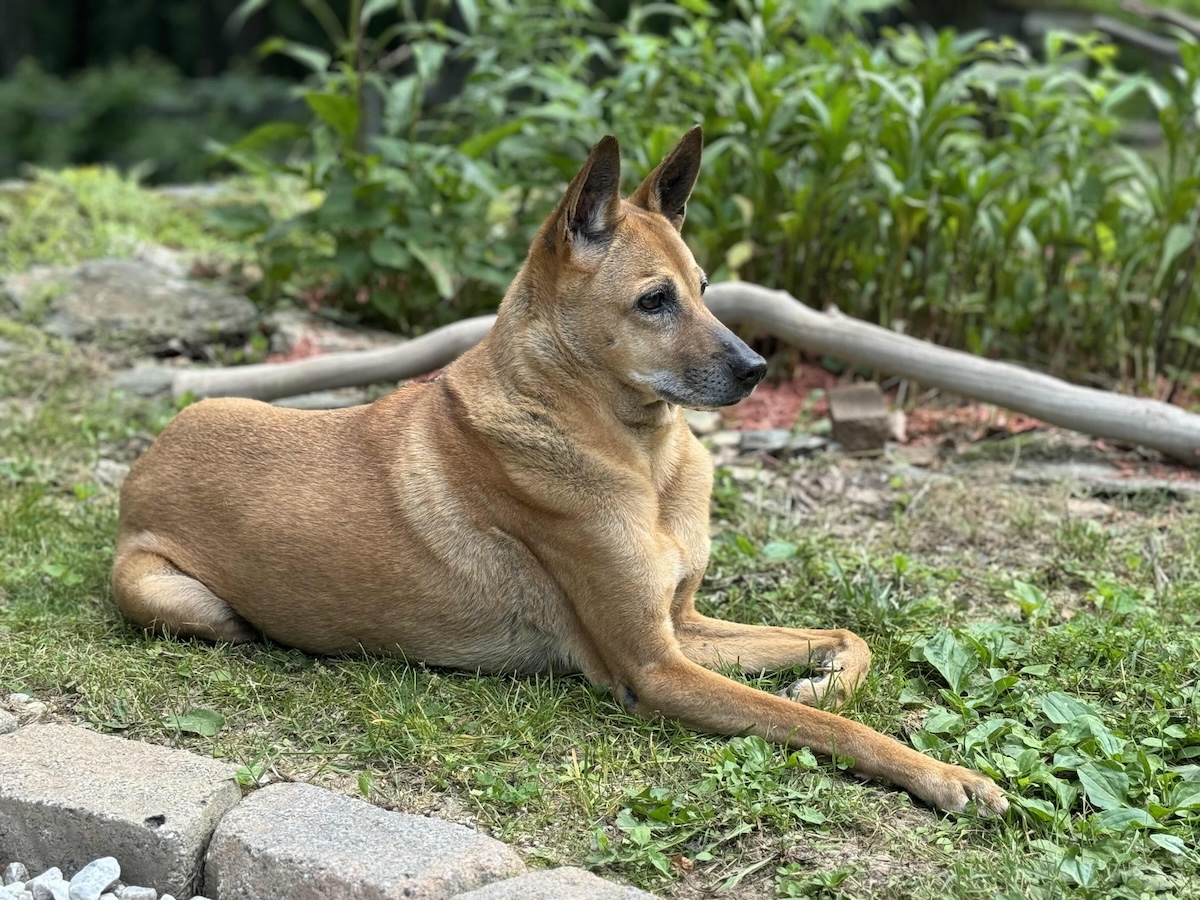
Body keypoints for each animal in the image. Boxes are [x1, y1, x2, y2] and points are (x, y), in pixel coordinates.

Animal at [112, 128, 1008, 816]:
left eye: (706, 288)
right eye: (654, 301)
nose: (758, 371)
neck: (641, 456)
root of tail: (142, 469)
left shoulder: (681, 627)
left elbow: (843, 640)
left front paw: (821, 685)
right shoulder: (654, 668)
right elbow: (835, 731)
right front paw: (944, 775)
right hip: (172, 594)